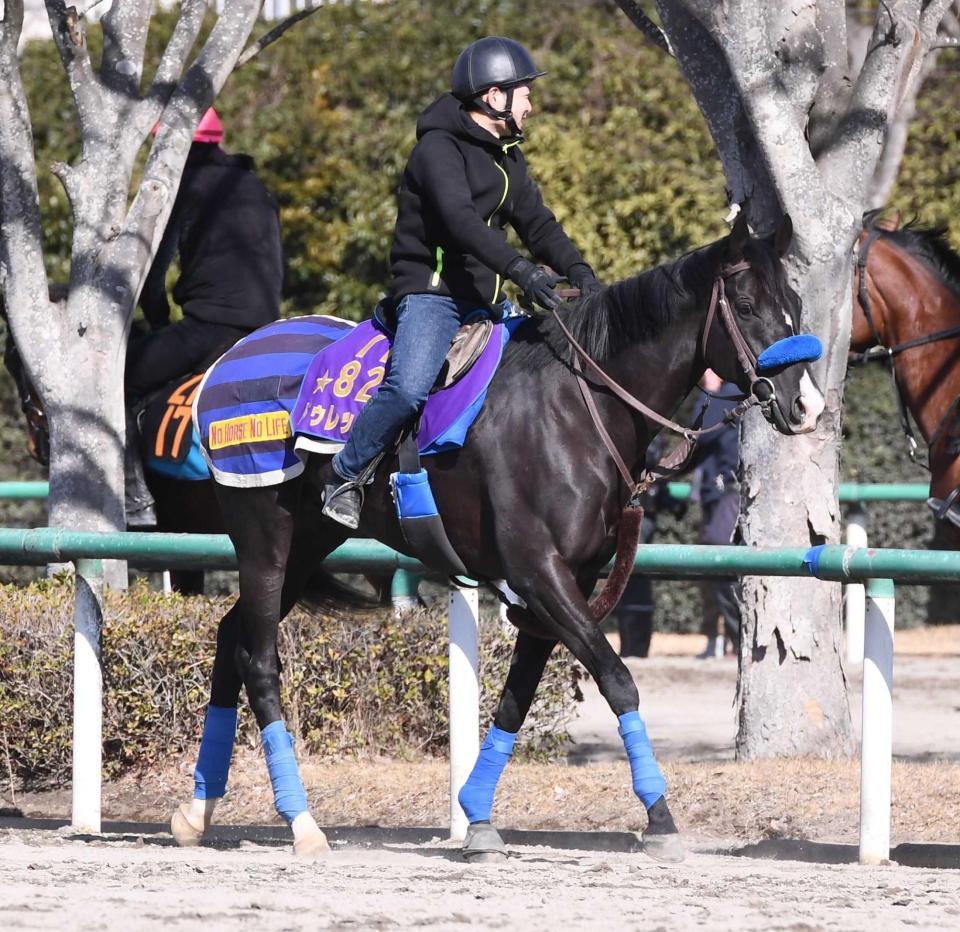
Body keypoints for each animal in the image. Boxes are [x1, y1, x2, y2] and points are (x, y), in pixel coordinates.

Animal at [169, 211, 820, 860]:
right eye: (746, 303)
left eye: (793, 302)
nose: (806, 405)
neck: (576, 406)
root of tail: (227, 362)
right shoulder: (539, 571)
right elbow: (618, 680)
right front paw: (659, 816)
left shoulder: (567, 580)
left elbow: (517, 695)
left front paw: (478, 816)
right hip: (265, 535)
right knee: (258, 661)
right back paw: (300, 820)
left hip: (306, 544)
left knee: (230, 639)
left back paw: (197, 812)